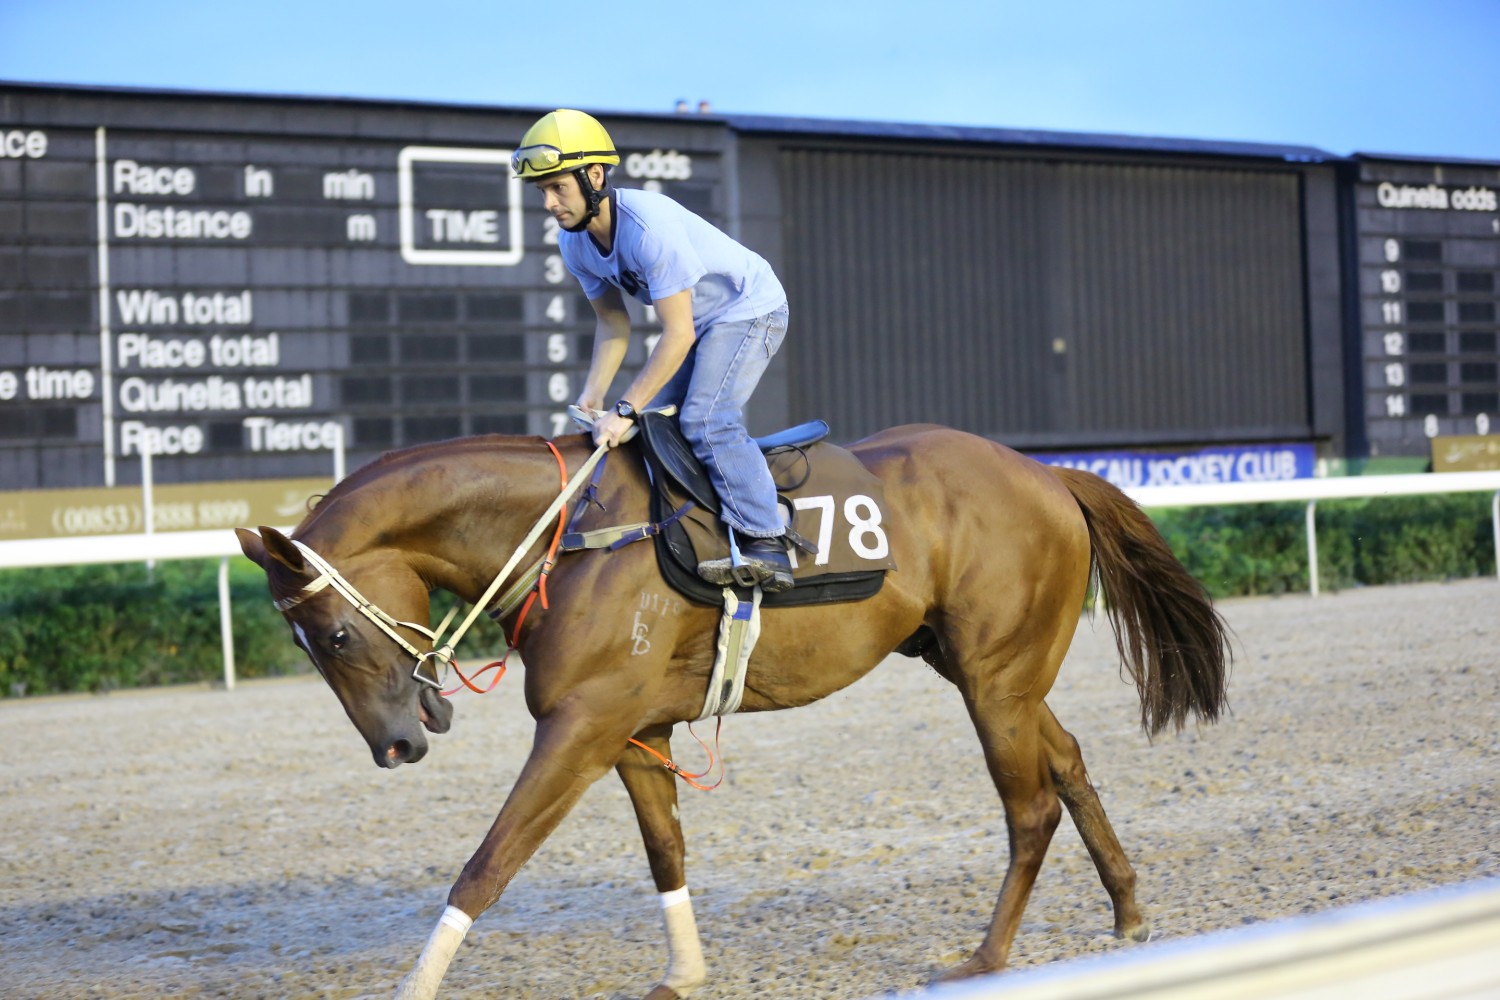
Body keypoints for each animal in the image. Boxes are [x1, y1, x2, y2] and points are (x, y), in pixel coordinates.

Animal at [237, 425, 1230, 1000]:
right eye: (307, 647)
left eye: (329, 635)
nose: (396, 745)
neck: (572, 535)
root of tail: (1047, 473)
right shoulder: (631, 729)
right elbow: (665, 851)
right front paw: (684, 970)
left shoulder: (580, 725)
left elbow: (488, 863)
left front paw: (416, 983)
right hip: (989, 671)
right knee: (1068, 761)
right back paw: (1128, 912)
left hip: (995, 677)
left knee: (1029, 807)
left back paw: (984, 960)